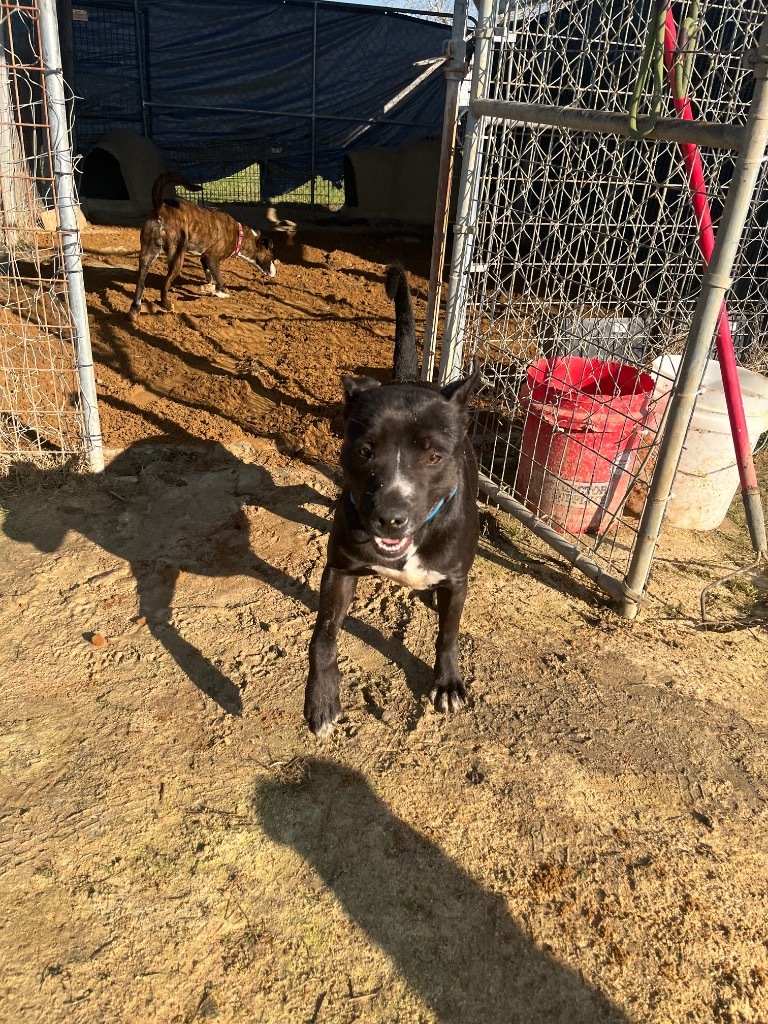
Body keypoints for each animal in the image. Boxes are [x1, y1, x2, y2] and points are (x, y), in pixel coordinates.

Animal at [307, 266, 481, 737]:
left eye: (434, 456)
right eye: (365, 451)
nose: (390, 518)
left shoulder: (457, 581)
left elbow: (449, 634)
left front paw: (447, 682)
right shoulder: (339, 569)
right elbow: (323, 635)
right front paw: (321, 699)